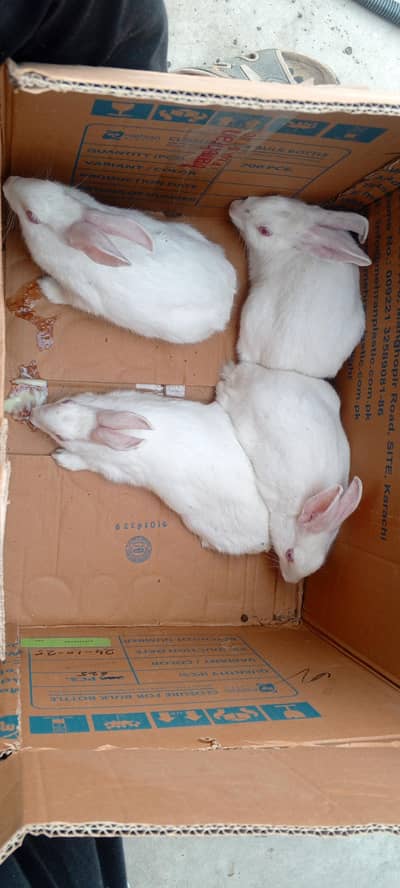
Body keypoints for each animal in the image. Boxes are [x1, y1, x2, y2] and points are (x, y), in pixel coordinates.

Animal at [3, 176, 237, 344]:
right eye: (50, 183)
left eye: (31, 216)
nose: (7, 181)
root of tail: (229, 294)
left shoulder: (81, 295)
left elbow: (65, 297)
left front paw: (45, 286)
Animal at [30, 388, 270, 557]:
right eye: (66, 402)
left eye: (61, 437)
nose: (32, 414)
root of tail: (266, 539)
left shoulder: (107, 468)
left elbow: (82, 462)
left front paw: (61, 457)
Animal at [217, 362, 362, 583]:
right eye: (290, 555)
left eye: (319, 565)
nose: (288, 580)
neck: (296, 511)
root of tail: (253, 375)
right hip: (239, 413)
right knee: (224, 393)